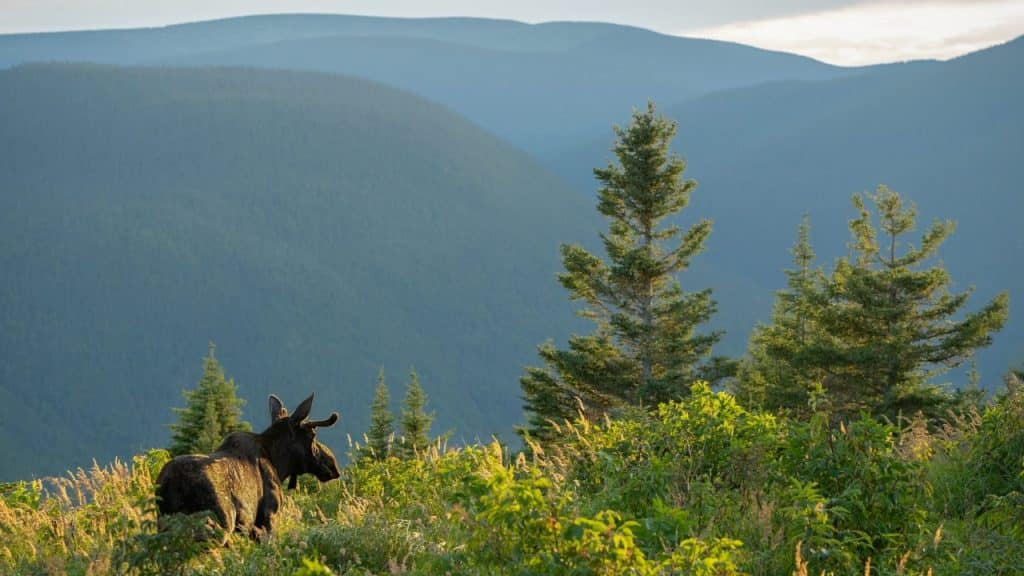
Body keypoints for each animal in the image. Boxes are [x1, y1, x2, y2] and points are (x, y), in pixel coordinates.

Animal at [155, 393, 341, 542]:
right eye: (313, 435)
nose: (333, 465)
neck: (280, 465)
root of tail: (169, 485)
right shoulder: (268, 518)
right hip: (217, 525)